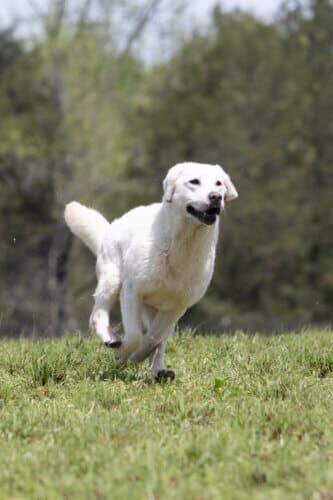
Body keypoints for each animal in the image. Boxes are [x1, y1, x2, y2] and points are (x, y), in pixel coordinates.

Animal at [64, 162, 236, 380]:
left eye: (219, 183)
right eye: (194, 181)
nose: (216, 197)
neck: (183, 245)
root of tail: (111, 226)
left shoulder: (177, 307)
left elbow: (154, 338)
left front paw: (139, 357)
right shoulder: (131, 292)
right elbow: (135, 336)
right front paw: (122, 354)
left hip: (156, 310)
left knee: (160, 339)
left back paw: (159, 371)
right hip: (112, 281)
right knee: (96, 315)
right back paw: (111, 338)